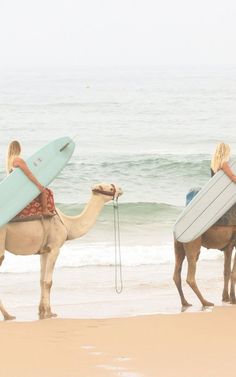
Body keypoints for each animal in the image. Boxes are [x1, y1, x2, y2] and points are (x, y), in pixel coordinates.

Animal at [0, 184, 122, 318]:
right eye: (110, 188)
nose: (121, 189)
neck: (67, 224)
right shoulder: (55, 248)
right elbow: (48, 282)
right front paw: (49, 312)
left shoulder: (45, 251)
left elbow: (41, 280)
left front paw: (41, 311)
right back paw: (8, 315)